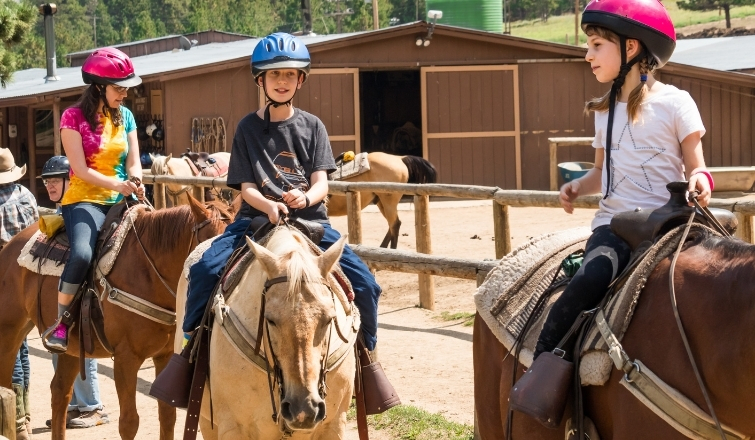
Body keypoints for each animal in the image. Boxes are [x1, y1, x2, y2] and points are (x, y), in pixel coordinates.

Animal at [0, 197, 230, 440]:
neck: (148, 273)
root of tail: (10, 246)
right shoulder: (125, 359)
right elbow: (129, 423)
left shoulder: (165, 356)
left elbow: (168, 416)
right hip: (9, 333)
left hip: (71, 348)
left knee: (60, 393)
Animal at [176, 227, 358, 440]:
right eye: (270, 320)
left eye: (329, 319)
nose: (303, 409)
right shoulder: (232, 427)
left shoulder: (334, 426)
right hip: (207, 421)